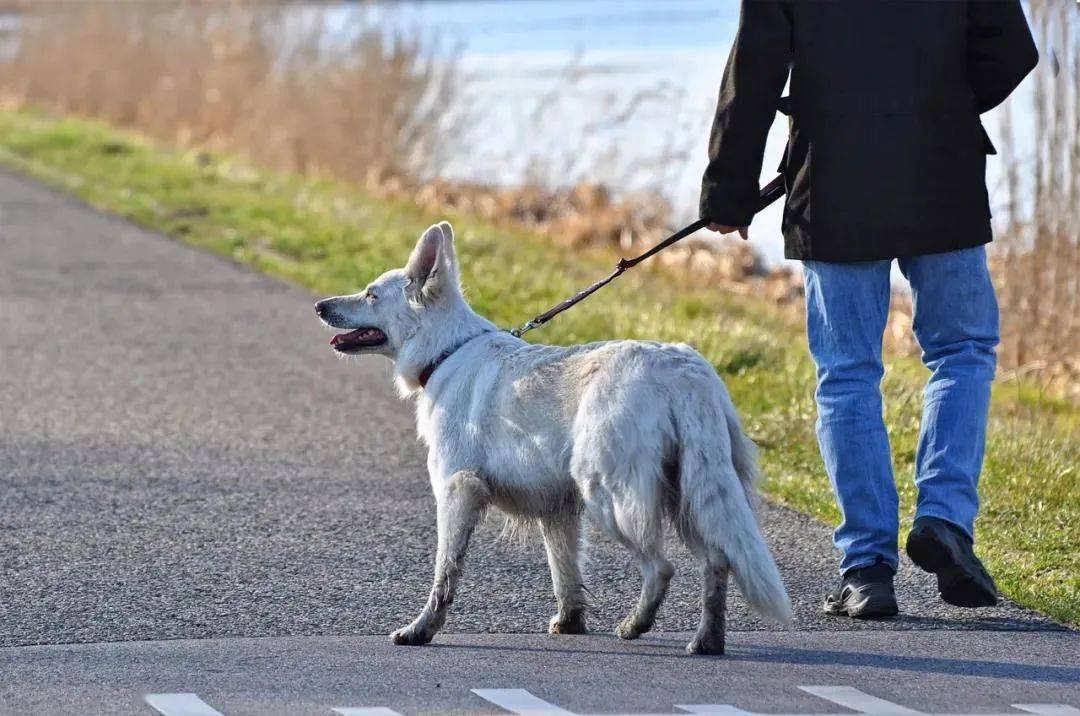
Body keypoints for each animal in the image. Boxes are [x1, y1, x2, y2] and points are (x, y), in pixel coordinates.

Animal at [315, 224, 790, 656]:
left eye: (371, 295)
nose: (320, 305)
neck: (447, 351)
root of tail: (684, 370)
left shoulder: (457, 492)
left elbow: (444, 574)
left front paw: (421, 630)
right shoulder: (557, 510)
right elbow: (565, 573)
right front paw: (571, 622)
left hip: (611, 496)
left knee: (662, 567)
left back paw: (635, 625)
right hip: (690, 496)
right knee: (717, 561)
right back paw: (707, 640)